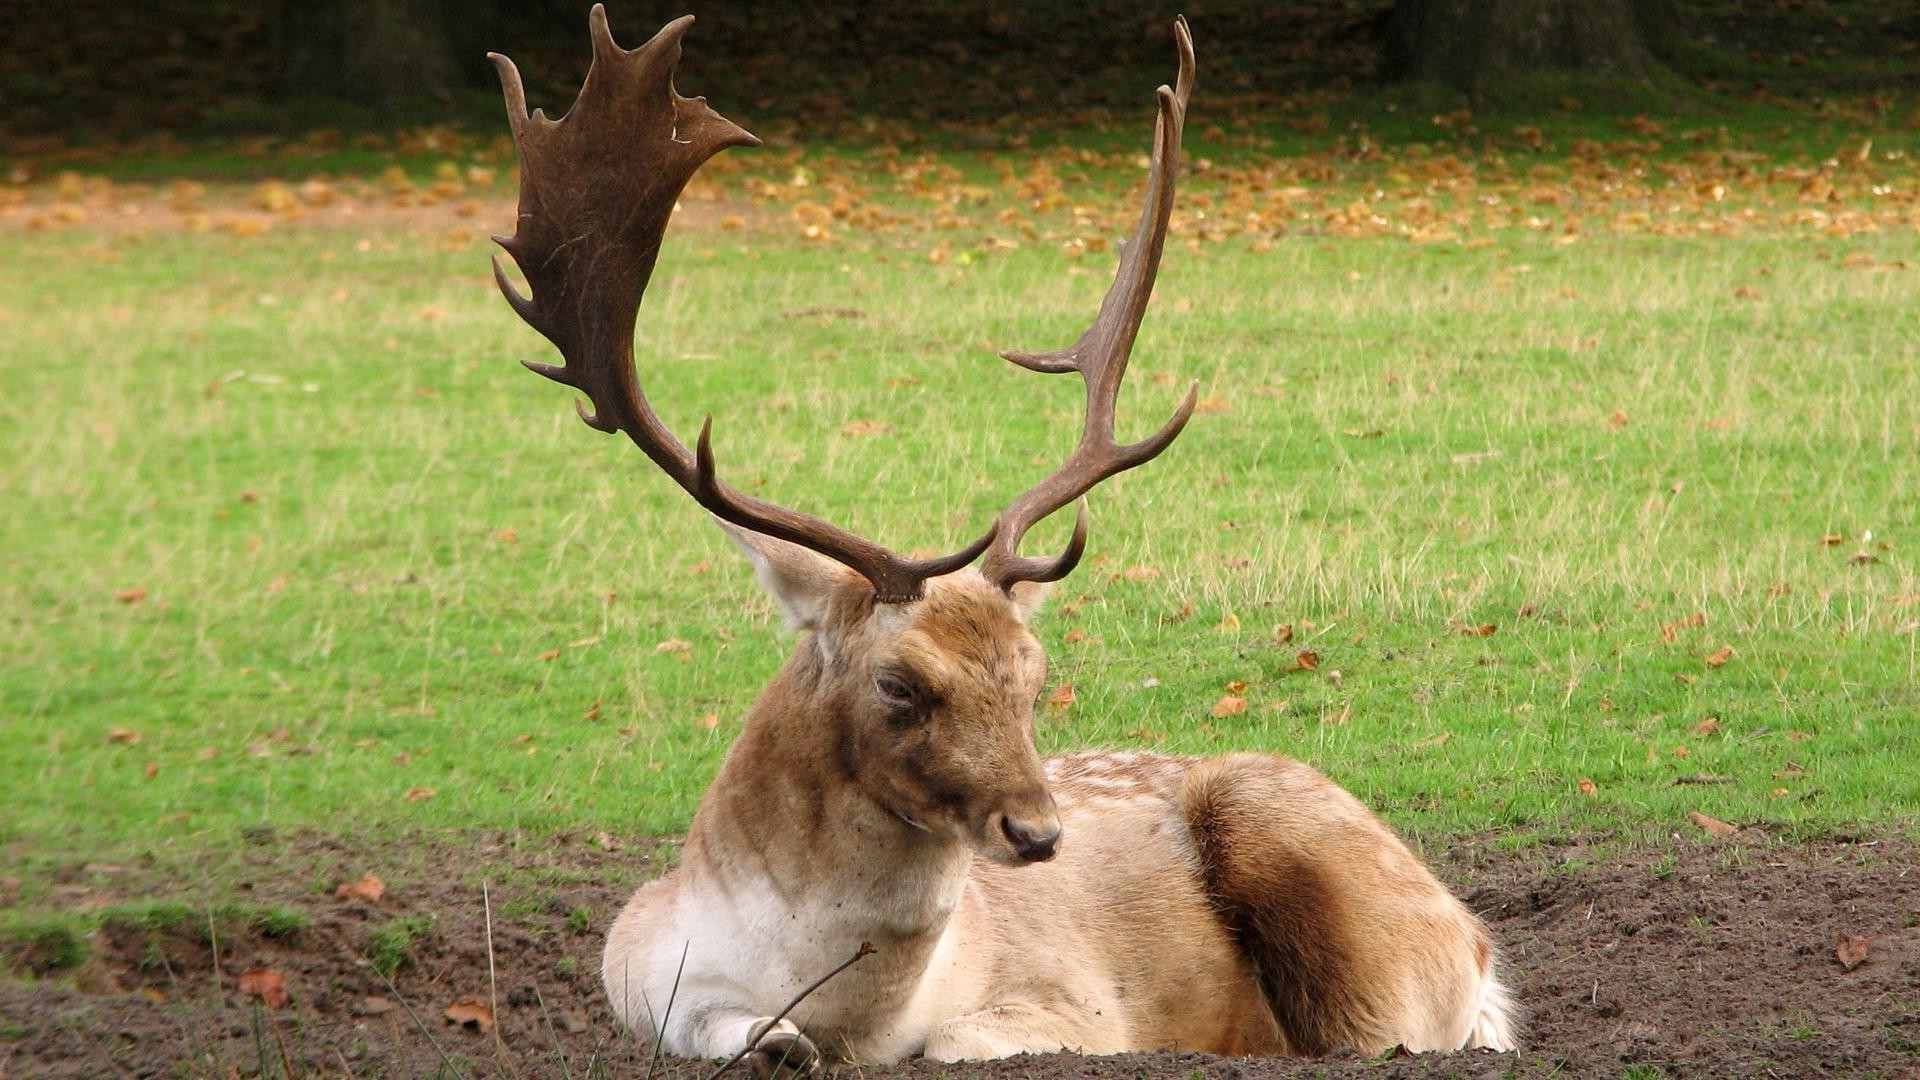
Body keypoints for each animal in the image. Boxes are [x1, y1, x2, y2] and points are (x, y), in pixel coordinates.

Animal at [487, 8, 1520, 1068]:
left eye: (1034, 676)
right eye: (899, 685)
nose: (1038, 834)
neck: (852, 1014)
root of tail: (1482, 953)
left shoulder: (1076, 1002)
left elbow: (953, 1043)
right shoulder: (637, 972)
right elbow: (739, 1034)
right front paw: (778, 1041)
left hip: (1338, 897)